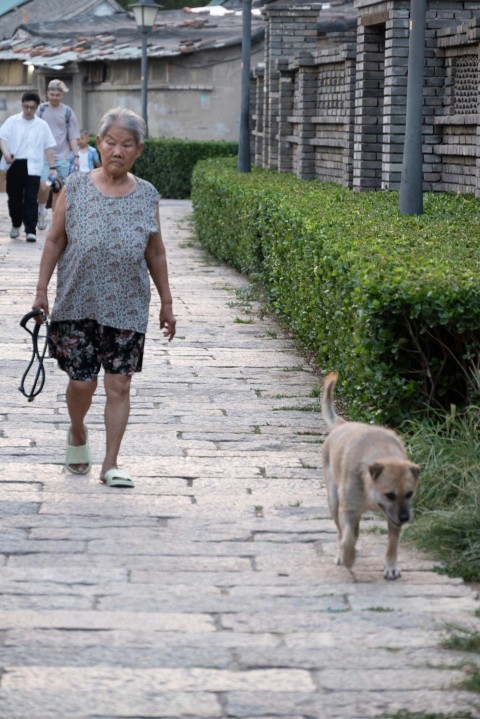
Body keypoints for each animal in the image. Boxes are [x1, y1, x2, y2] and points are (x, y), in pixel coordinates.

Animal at [322, 372, 420, 580]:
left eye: (409, 494)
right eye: (389, 495)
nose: (405, 518)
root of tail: (342, 424)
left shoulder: (393, 519)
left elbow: (392, 545)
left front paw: (391, 568)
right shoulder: (348, 508)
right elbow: (347, 537)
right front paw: (348, 557)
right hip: (334, 500)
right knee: (341, 531)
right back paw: (342, 554)